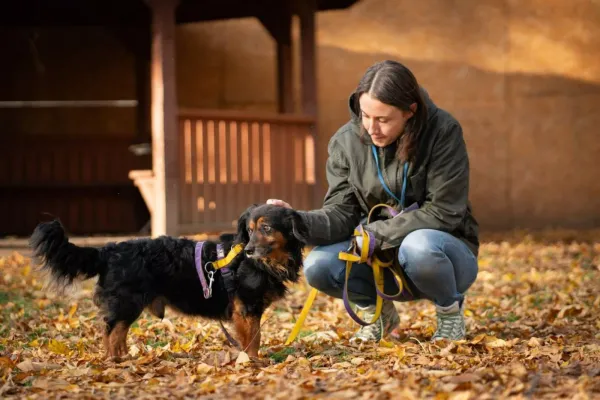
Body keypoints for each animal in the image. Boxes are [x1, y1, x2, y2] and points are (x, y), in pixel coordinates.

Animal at [28, 205, 308, 358]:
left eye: (266, 228)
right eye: (249, 230)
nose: (248, 250)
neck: (264, 262)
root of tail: (107, 250)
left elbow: (255, 337)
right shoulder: (246, 309)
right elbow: (252, 340)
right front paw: (252, 362)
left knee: (117, 332)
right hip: (127, 303)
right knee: (111, 331)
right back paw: (115, 361)